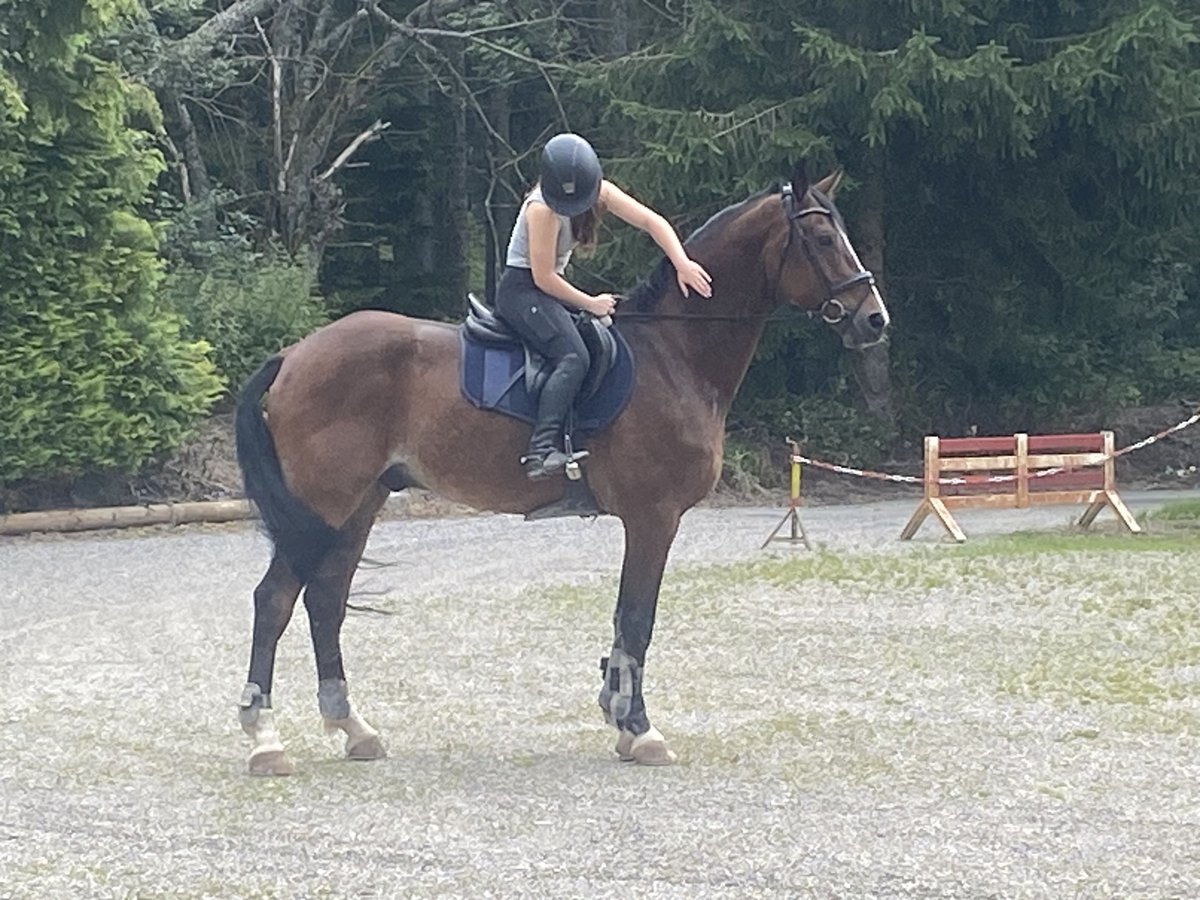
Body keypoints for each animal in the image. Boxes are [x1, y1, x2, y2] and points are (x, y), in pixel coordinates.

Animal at [234, 164, 892, 777]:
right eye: (824, 239)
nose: (874, 320)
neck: (673, 353)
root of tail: (294, 354)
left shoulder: (647, 521)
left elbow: (627, 623)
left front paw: (619, 717)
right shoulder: (653, 518)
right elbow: (638, 621)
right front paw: (640, 729)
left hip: (359, 504)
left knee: (325, 599)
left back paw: (353, 727)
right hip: (326, 501)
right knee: (274, 600)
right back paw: (266, 739)